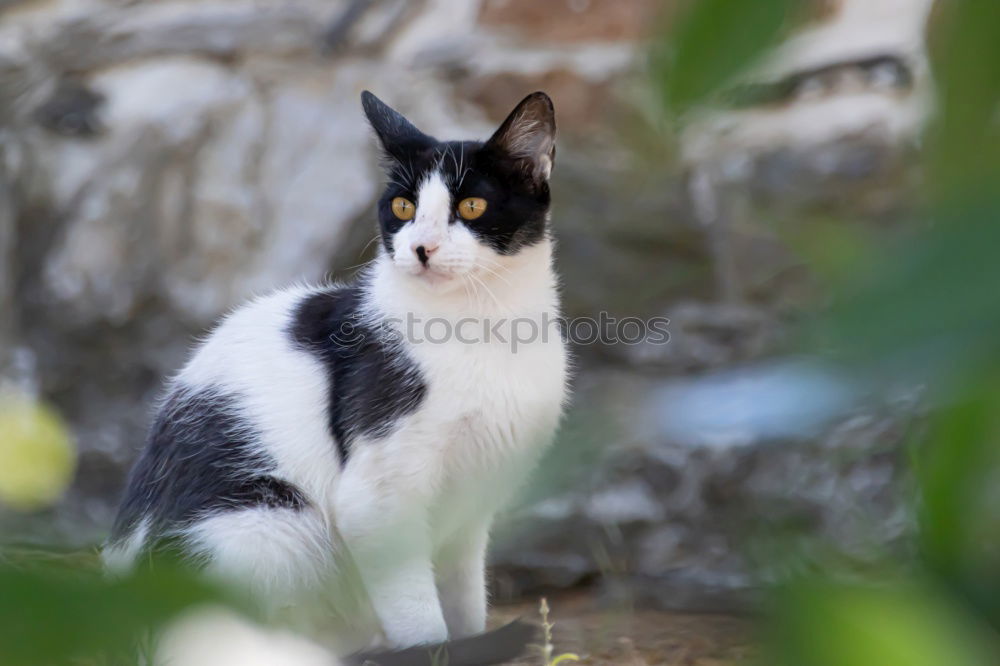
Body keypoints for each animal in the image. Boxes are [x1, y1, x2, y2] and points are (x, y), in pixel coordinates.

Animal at [106, 89, 572, 652]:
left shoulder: (470, 510)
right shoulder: (376, 503)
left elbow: (465, 601)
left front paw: (472, 644)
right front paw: (438, 650)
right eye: (403, 207)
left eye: (472, 206)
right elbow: (423, 624)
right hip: (265, 522)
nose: (421, 248)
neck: (481, 324)